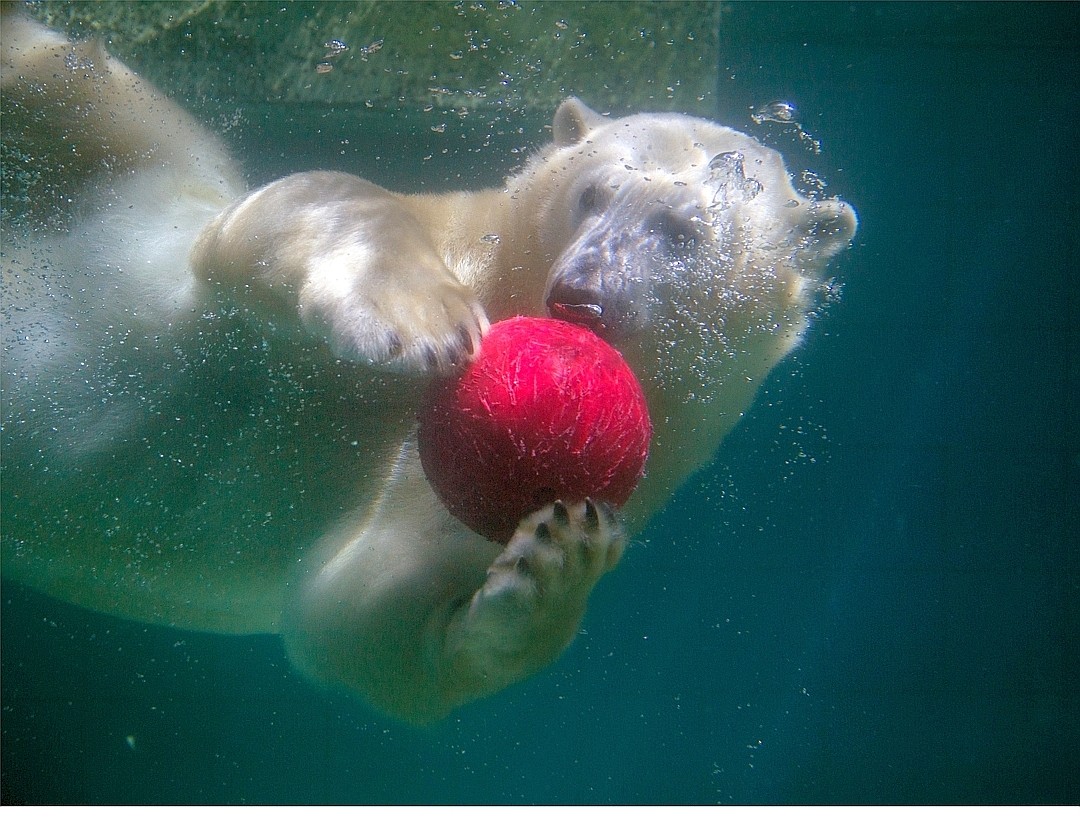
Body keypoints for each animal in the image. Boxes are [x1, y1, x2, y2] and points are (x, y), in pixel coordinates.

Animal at [4, 11, 855, 725]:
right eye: (591, 193)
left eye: (684, 232)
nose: (580, 294)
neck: (505, 280)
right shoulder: (440, 232)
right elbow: (301, 203)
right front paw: (418, 319)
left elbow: (363, 617)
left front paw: (560, 560)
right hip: (115, 169)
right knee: (80, 88)